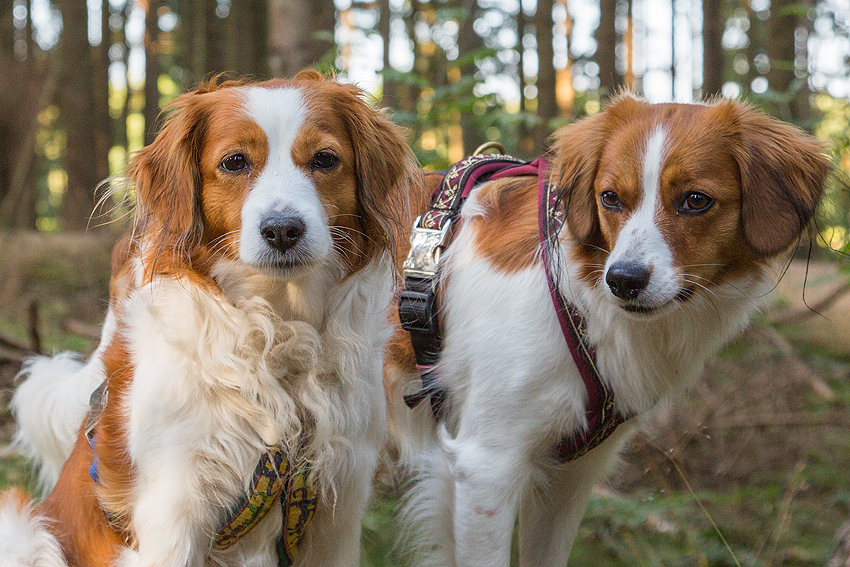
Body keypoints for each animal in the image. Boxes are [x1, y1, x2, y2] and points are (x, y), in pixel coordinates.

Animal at [0, 71, 418, 567]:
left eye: (325, 159)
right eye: (235, 162)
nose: (283, 230)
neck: (277, 335)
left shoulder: (337, 513)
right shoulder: (174, 512)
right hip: (23, 530)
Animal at [386, 95, 828, 564]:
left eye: (696, 200)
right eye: (610, 198)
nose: (623, 280)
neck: (578, 302)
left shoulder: (570, 475)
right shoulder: (487, 465)